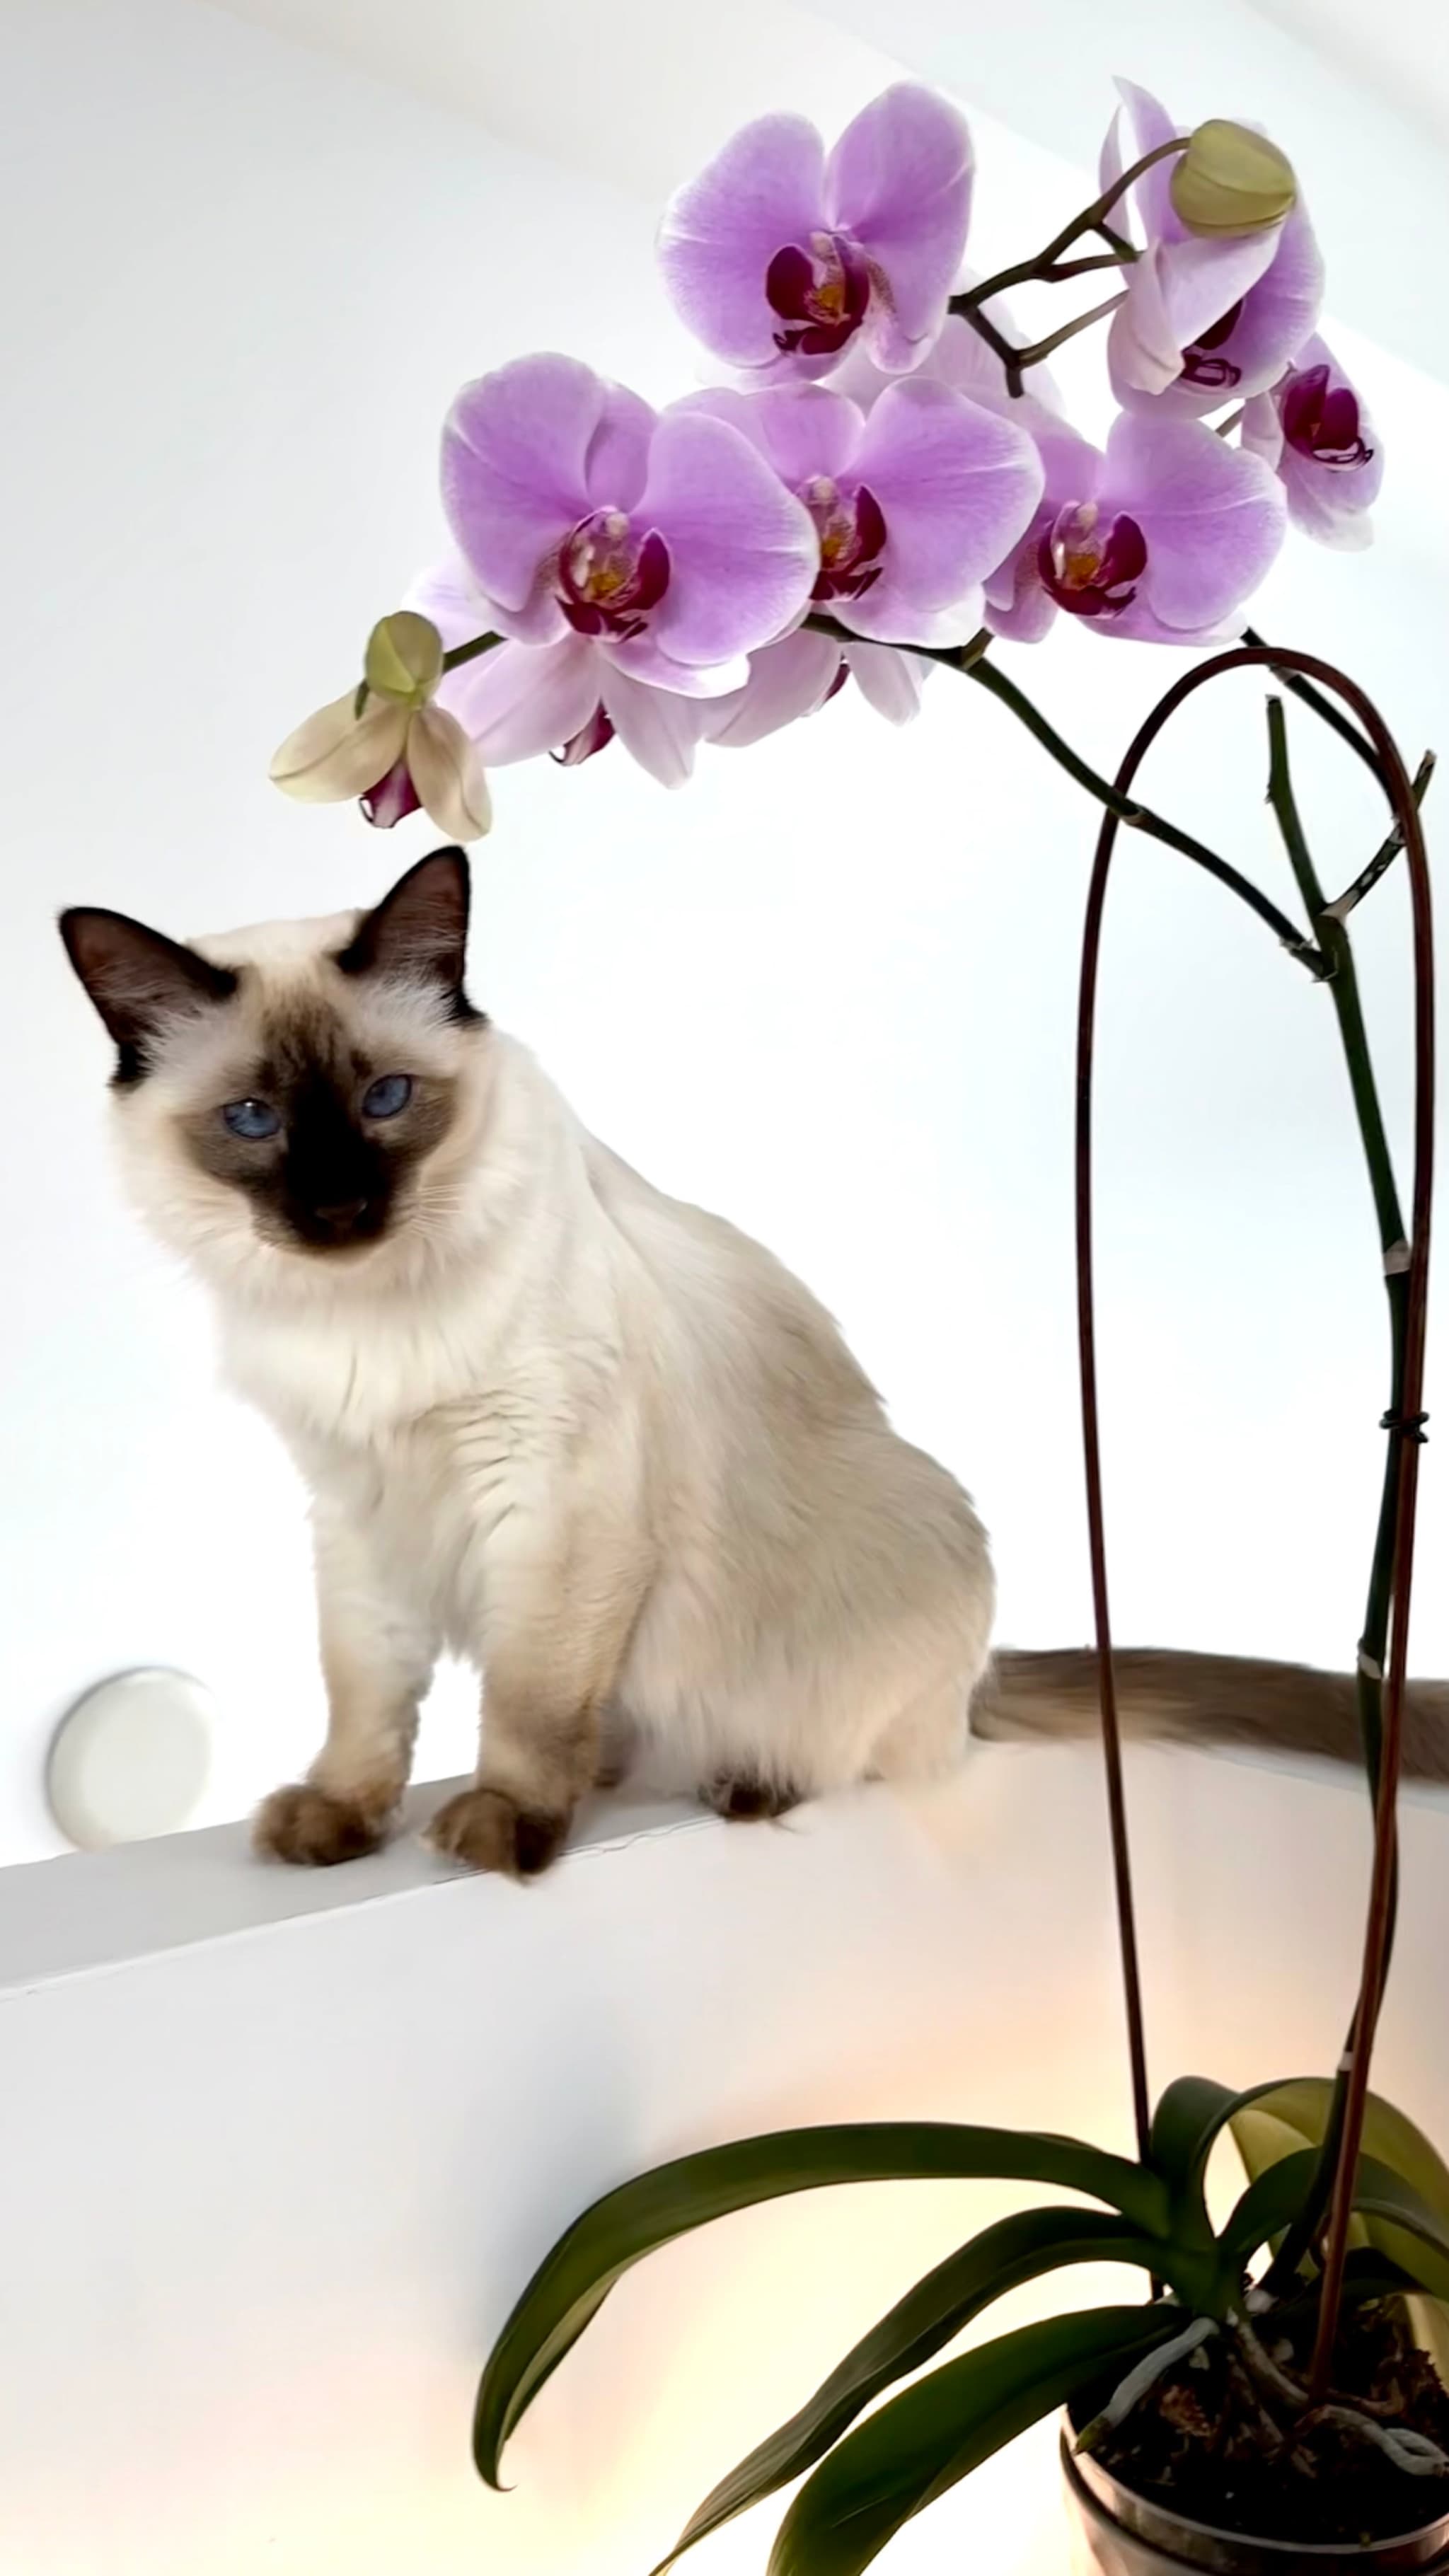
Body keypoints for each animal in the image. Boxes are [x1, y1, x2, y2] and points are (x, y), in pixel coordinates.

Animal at [59, 855, 1443, 1885]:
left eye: (388, 1100)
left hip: (916, 1523)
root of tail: (979, 1682)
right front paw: (341, 1821)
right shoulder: (355, 1512)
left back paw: (743, 1781)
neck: (362, 1313)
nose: (340, 1206)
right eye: (253, 1122)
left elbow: (525, 1705)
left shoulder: (554, 1507)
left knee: (854, 1753)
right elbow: (365, 1697)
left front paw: (507, 1830)